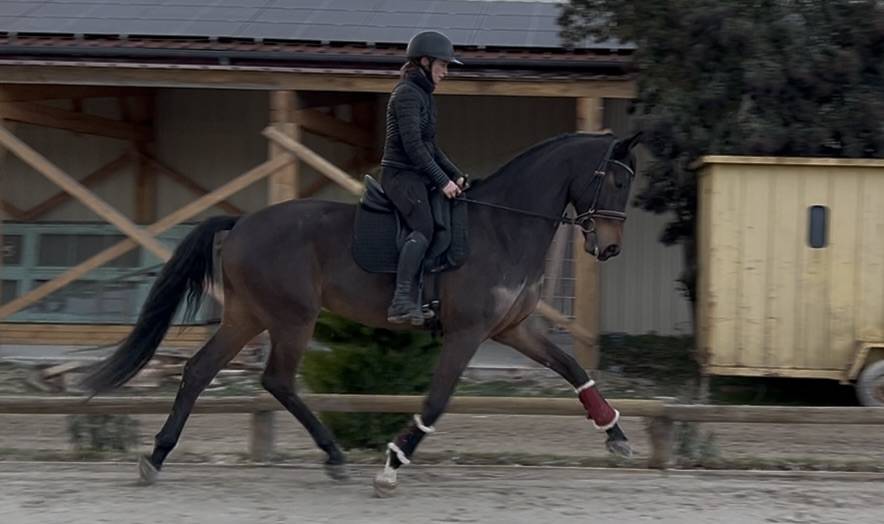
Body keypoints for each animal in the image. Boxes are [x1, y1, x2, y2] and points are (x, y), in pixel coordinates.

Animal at [81, 130, 642, 496]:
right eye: (615, 182)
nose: (611, 247)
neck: (502, 226)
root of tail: (241, 225)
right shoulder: (467, 333)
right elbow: (436, 402)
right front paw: (391, 466)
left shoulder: (512, 329)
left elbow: (573, 368)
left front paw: (616, 435)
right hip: (292, 318)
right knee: (275, 379)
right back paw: (333, 456)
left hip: (249, 316)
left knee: (201, 371)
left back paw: (157, 458)